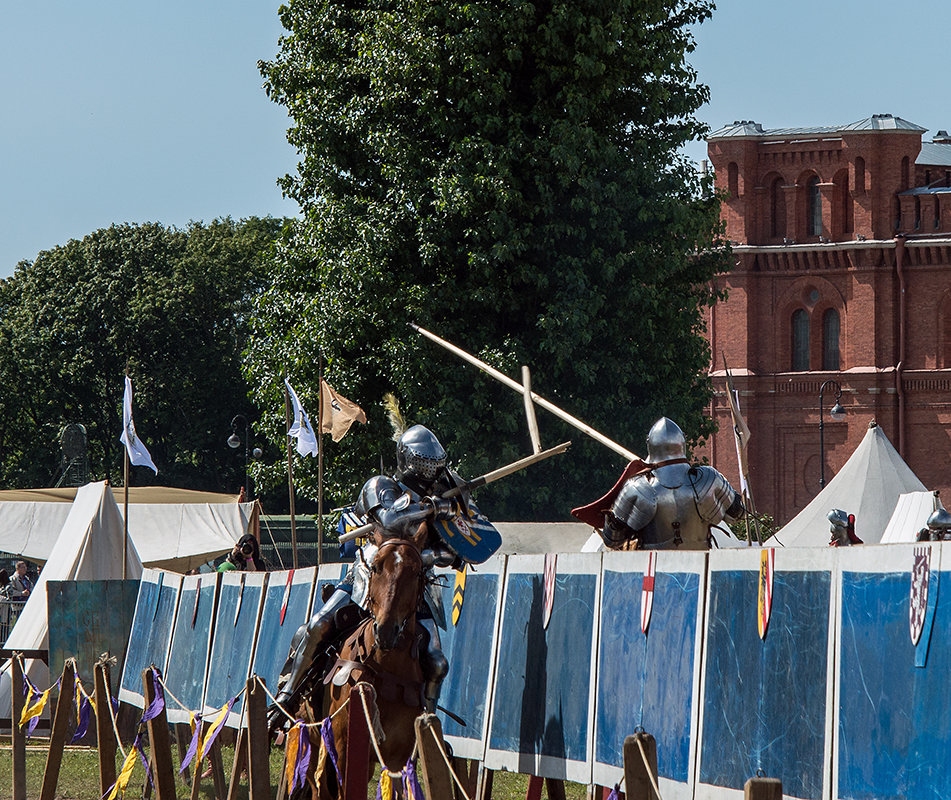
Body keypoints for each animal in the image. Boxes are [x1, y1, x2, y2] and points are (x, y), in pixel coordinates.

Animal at [308, 524, 428, 800]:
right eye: (376, 567)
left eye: (416, 572)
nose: (386, 630)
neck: (386, 671)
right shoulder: (343, 750)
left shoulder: (397, 759)